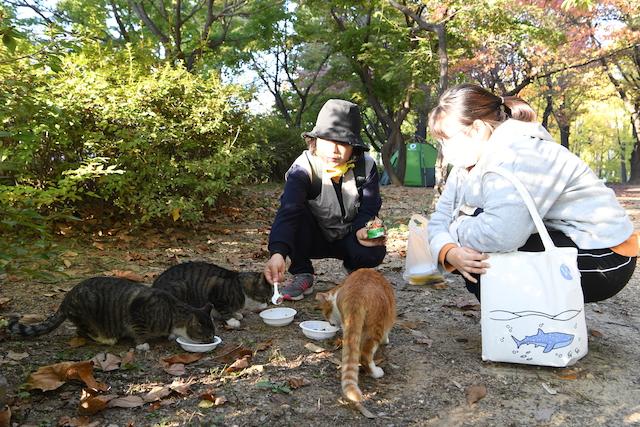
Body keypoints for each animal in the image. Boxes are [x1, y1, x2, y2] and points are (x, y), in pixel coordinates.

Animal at [8, 278, 216, 348]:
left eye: (213, 335)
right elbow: (139, 332)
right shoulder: (137, 312)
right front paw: (142, 344)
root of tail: (66, 298)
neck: (172, 311)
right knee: (82, 330)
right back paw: (106, 338)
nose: (211, 341)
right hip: (87, 311)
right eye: (207, 336)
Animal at [314, 270, 398, 406]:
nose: (330, 323)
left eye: (325, 314)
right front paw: (386, 341)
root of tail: (357, 295)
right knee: (365, 355)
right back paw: (376, 372)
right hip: (376, 324)